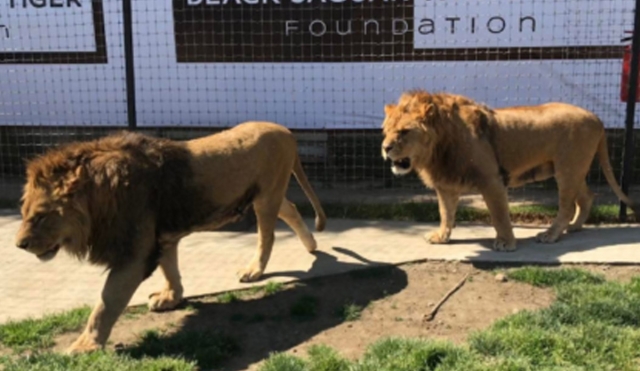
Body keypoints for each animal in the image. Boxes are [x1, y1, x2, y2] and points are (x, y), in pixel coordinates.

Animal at [13, 122, 328, 354]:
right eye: (24, 212)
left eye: (41, 216)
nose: (20, 245)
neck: (100, 198)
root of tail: (285, 130)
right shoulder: (162, 237)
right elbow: (170, 269)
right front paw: (171, 297)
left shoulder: (135, 254)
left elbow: (107, 301)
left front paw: (84, 345)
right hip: (266, 196)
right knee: (291, 208)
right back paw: (311, 245)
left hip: (265, 197)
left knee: (267, 236)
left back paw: (255, 270)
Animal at [382, 91, 636, 253]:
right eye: (386, 131)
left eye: (404, 132)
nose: (385, 148)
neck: (438, 149)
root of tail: (597, 118)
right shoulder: (446, 185)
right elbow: (446, 213)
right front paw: (441, 237)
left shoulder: (492, 180)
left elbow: (499, 215)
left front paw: (506, 243)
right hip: (572, 169)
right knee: (586, 197)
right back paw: (574, 227)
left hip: (568, 169)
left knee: (567, 206)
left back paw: (551, 235)